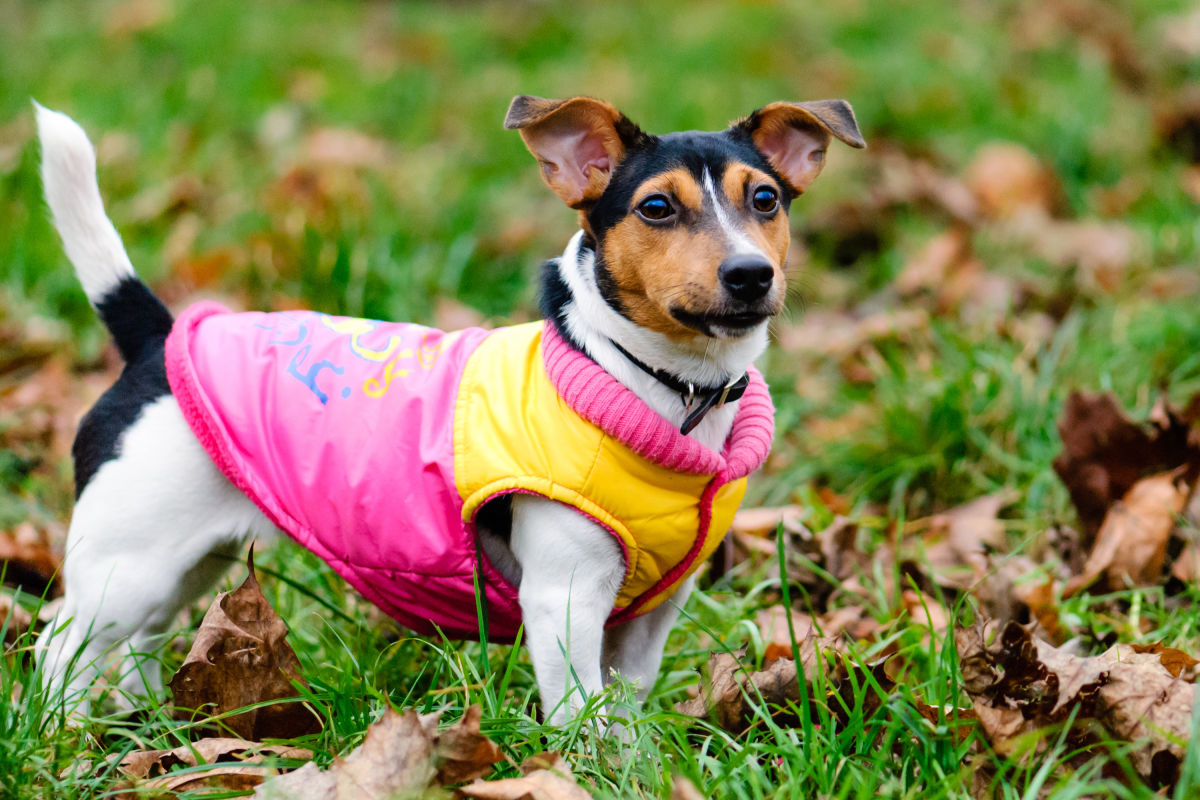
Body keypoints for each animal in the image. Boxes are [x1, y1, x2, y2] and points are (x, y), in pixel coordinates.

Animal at [35, 95, 864, 724]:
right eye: (656, 207)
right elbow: (579, 712)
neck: (650, 382)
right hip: (126, 565)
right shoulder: (565, 601)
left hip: (182, 562)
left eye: (766, 200)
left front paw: (635, 763)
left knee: (139, 645)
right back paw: (65, 732)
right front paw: (593, 770)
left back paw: (145, 720)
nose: (750, 274)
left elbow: (623, 705)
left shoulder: (650, 615)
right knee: (62, 648)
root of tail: (160, 337)